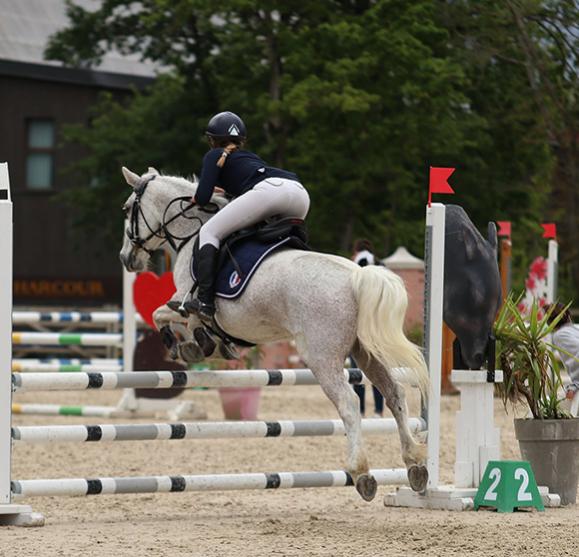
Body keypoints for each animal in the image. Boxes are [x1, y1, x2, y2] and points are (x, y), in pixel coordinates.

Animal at [118, 165, 430, 500]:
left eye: (128, 209)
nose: (126, 258)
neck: (192, 232)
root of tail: (357, 275)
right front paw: (208, 345)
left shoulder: (184, 303)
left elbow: (164, 315)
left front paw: (189, 346)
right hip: (364, 351)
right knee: (394, 393)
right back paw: (415, 465)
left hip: (321, 356)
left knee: (349, 403)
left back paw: (362, 473)